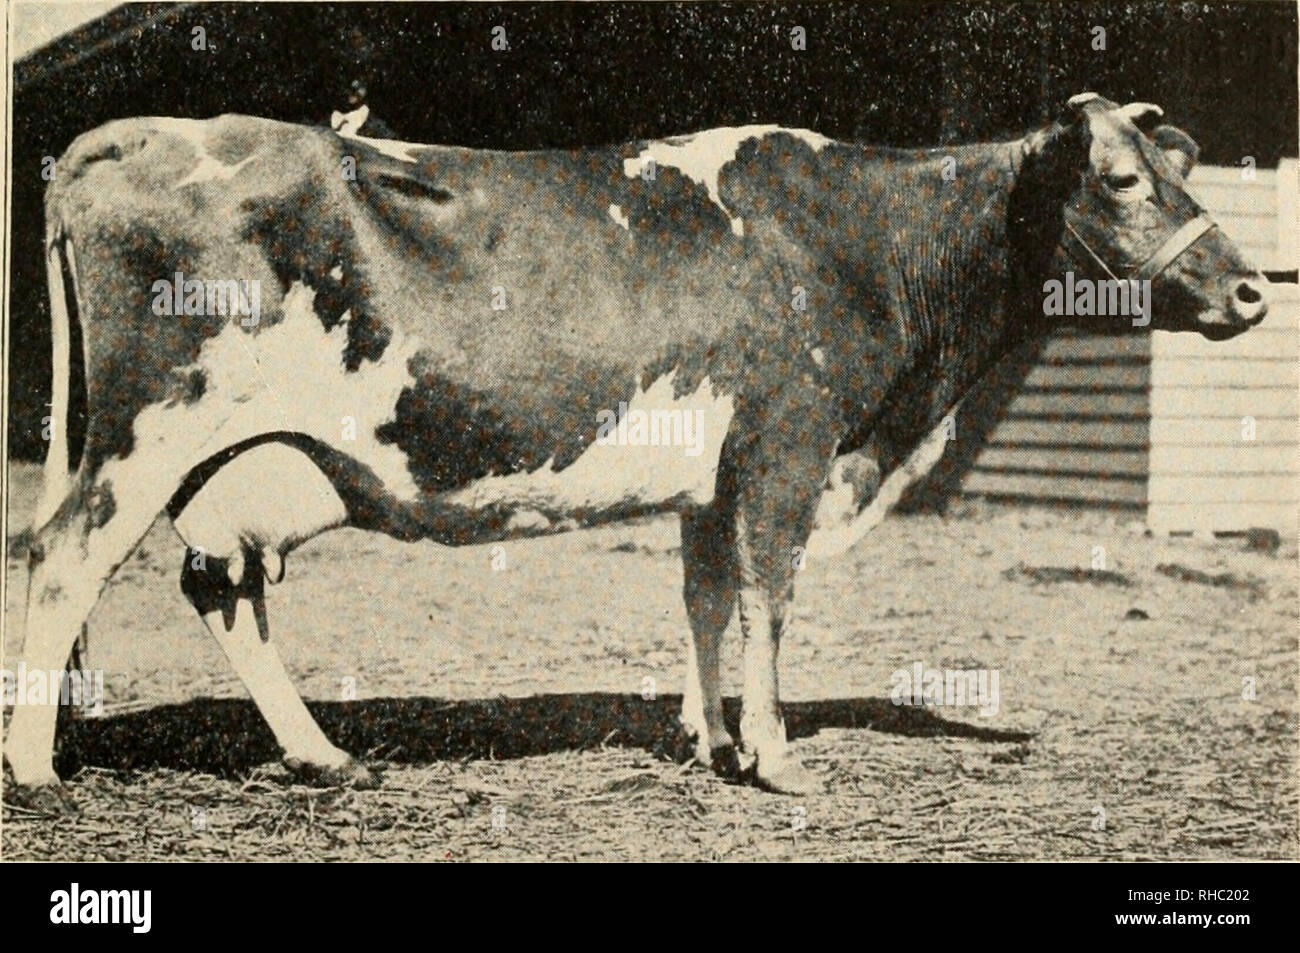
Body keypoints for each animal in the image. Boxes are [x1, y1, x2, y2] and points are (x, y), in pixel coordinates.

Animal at [3, 92, 1268, 814]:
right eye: (1121, 179)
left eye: (1183, 171)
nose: (1253, 289)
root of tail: (137, 132)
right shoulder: (786, 445)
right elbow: (766, 596)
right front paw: (775, 753)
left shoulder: (712, 471)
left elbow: (703, 595)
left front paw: (706, 736)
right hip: (151, 423)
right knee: (63, 558)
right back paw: (36, 767)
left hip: (244, 454)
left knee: (220, 582)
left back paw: (320, 754)